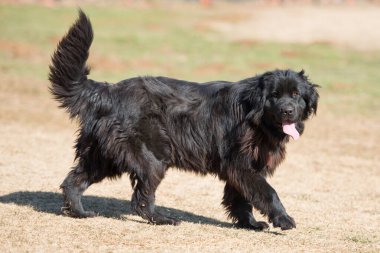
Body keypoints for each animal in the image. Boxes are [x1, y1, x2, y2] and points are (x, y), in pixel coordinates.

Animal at [49, 10, 320, 230]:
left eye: (296, 95)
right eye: (274, 96)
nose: (288, 111)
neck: (255, 116)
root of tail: (109, 91)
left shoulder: (244, 167)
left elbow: (241, 199)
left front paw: (250, 224)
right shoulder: (241, 165)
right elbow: (266, 192)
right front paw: (283, 219)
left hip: (103, 155)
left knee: (74, 181)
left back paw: (79, 212)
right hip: (150, 159)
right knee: (141, 200)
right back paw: (164, 219)